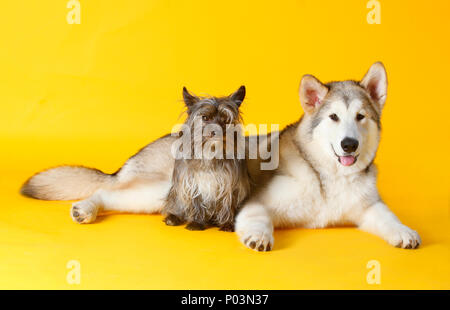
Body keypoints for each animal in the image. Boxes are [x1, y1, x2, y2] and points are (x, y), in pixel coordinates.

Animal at [236, 61, 422, 251]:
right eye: (333, 116)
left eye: (360, 116)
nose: (349, 144)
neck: (334, 176)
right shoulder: (256, 202)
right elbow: (259, 218)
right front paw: (259, 235)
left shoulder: (369, 204)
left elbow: (388, 216)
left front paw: (402, 230)